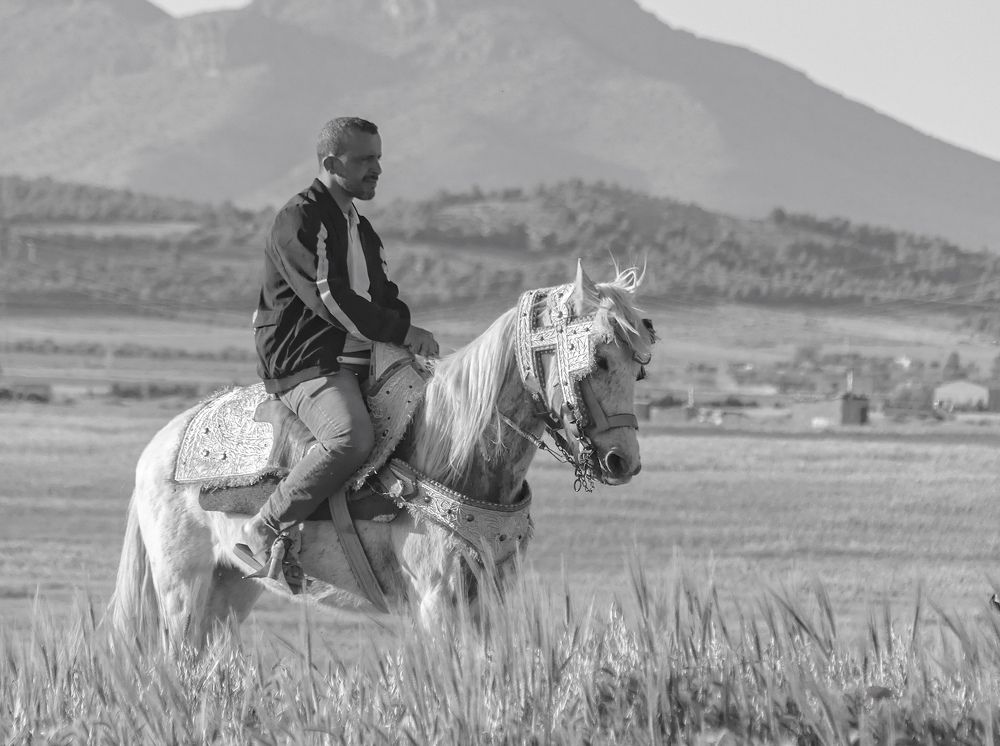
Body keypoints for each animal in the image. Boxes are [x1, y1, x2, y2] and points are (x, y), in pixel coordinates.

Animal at [109, 263, 656, 648]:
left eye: (639, 366)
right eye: (598, 357)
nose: (623, 462)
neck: (455, 446)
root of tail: (157, 450)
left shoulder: (491, 593)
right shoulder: (437, 598)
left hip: (231, 590)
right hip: (183, 589)